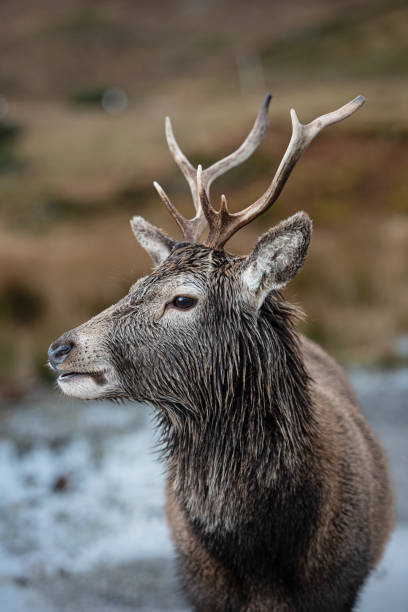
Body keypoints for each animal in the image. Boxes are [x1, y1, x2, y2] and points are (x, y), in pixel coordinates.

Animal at [47, 93, 392, 608]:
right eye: (133, 286)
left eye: (183, 299)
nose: (59, 348)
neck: (263, 561)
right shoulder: (201, 591)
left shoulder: (340, 587)